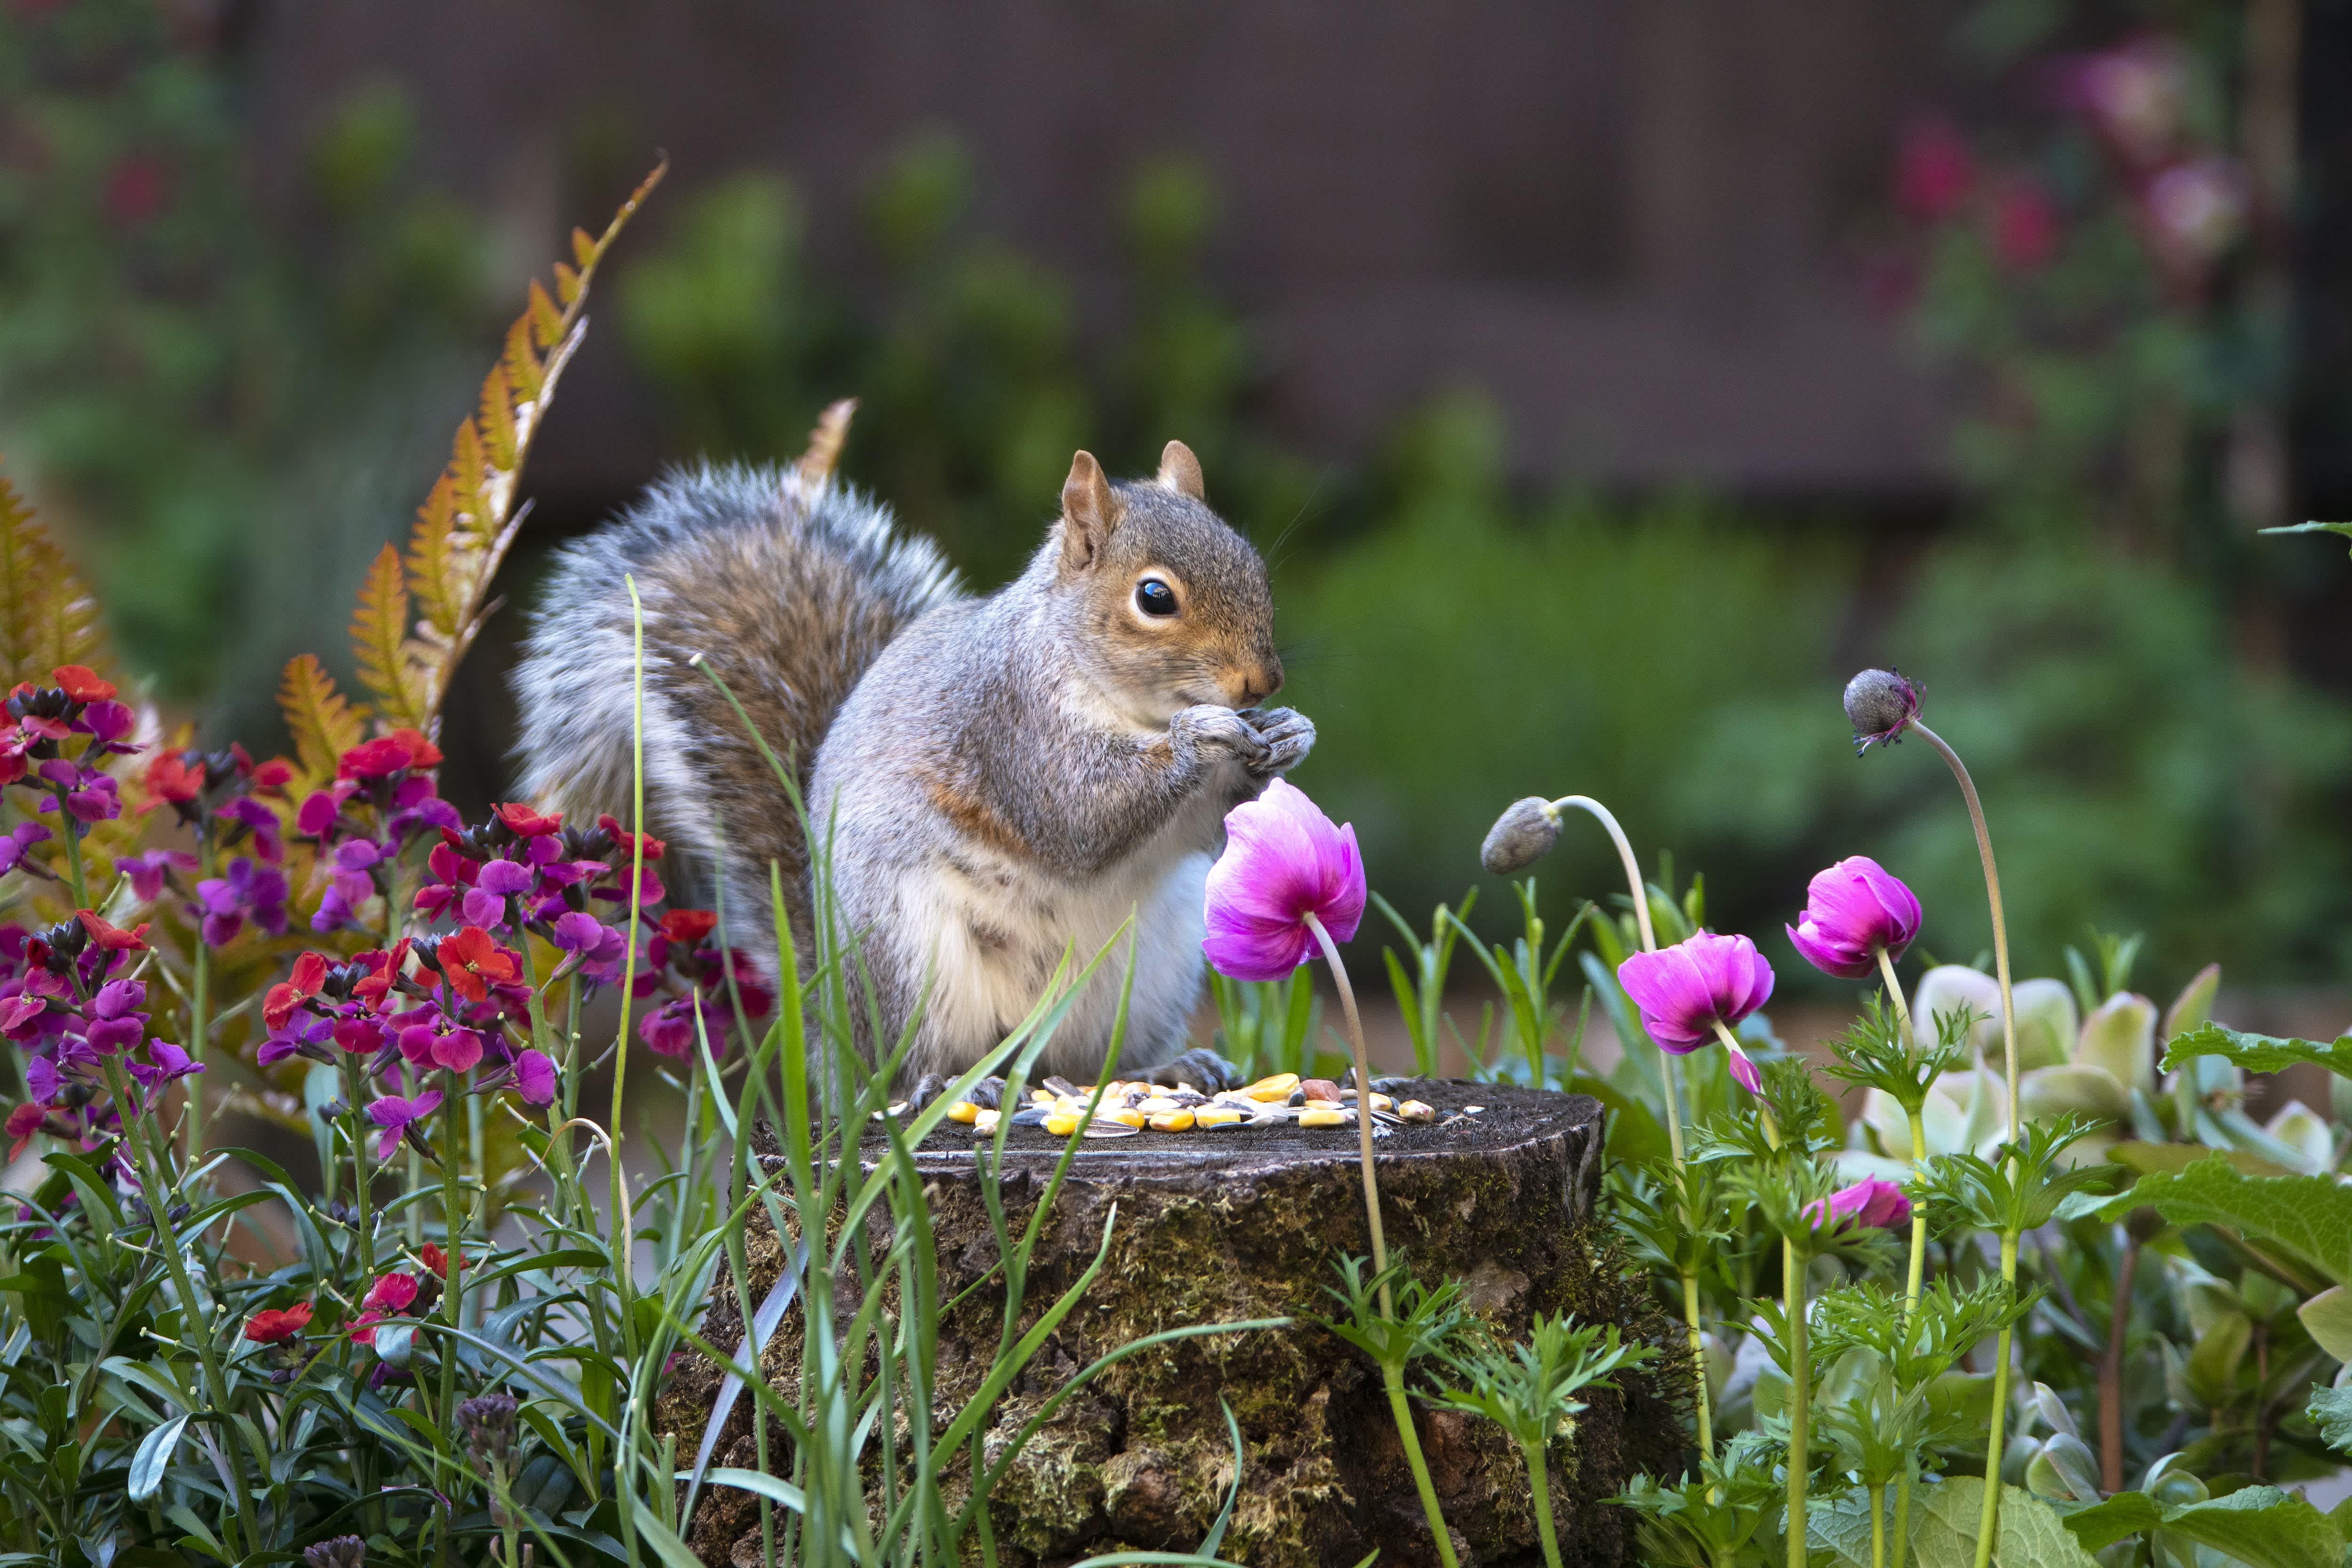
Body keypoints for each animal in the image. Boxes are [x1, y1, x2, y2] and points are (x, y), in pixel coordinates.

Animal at [512, 404, 1314, 1087]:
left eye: (1256, 567)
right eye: (1154, 598)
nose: (1262, 680)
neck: (1128, 703)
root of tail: (837, 1028)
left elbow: (1206, 828)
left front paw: (1286, 733)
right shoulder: (1010, 727)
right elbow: (1080, 814)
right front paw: (1201, 735)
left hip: (1155, 968)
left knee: (1093, 1070)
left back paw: (1169, 1070)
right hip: (908, 957)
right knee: (908, 1078)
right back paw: (957, 1083)